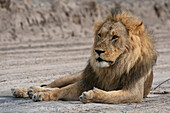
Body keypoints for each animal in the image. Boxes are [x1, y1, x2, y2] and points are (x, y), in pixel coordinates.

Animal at [10, 7, 157, 103]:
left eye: (115, 37)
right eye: (100, 35)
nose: (98, 51)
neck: (113, 67)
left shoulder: (134, 92)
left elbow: (110, 96)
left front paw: (90, 95)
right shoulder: (86, 81)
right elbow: (61, 90)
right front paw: (41, 95)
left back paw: (32, 91)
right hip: (74, 76)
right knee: (52, 85)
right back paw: (26, 90)